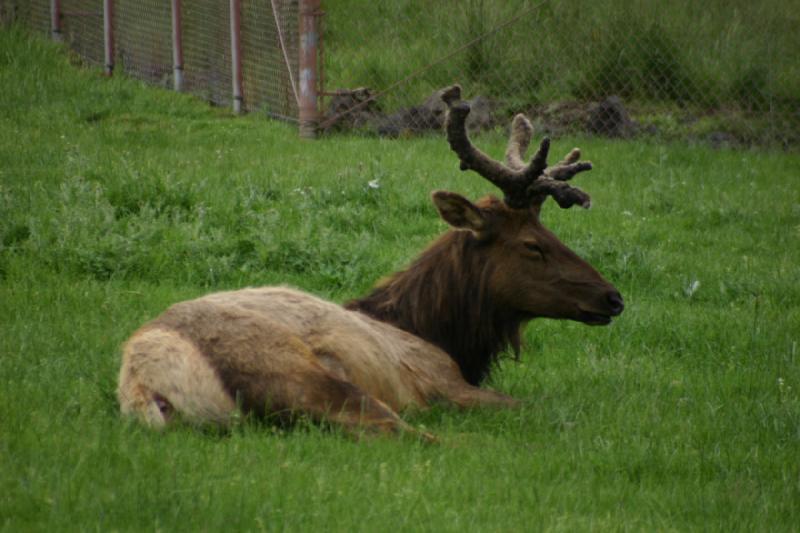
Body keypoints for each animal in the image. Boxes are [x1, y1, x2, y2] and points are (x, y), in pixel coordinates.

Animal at [115, 85, 620, 438]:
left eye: (551, 233)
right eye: (532, 245)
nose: (613, 297)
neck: (441, 334)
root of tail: (142, 381)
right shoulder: (441, 381)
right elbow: (525, 405)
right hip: (295, 372)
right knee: (395, 431)